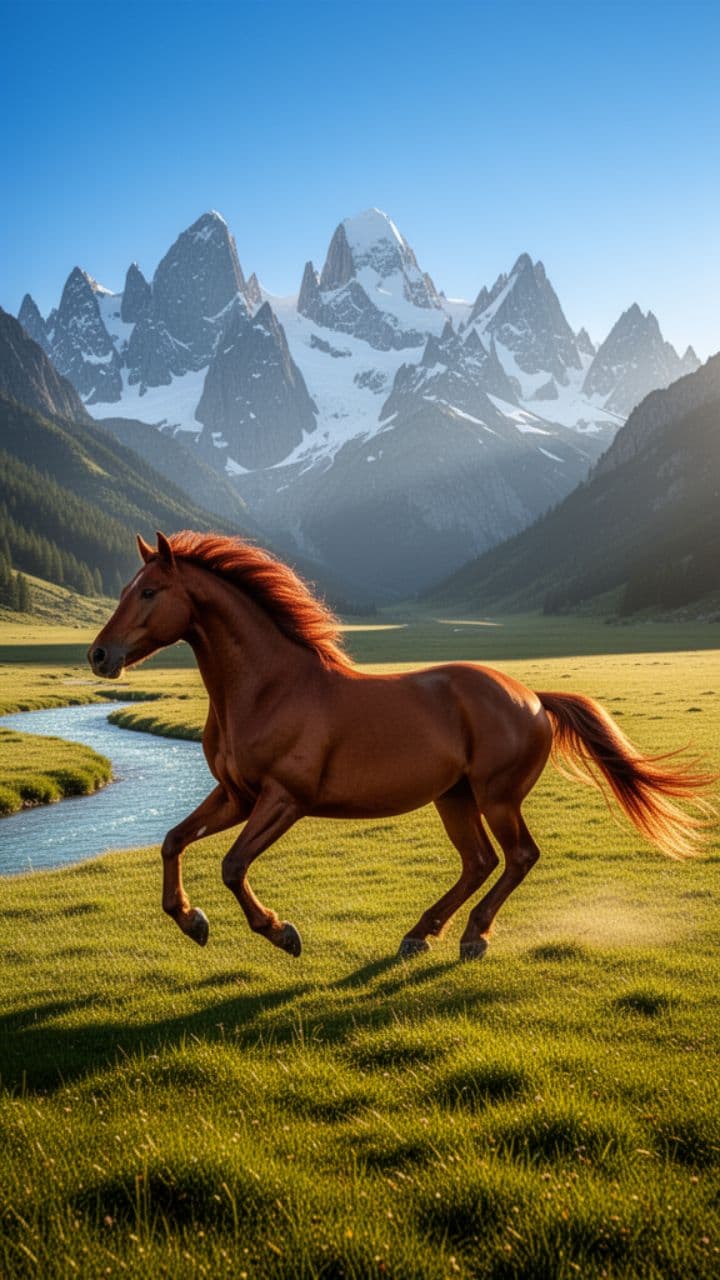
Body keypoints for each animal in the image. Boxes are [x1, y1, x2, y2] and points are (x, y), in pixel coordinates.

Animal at [88, 531, 713, 961]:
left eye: (149, 592)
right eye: (122, 590)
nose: (98, 655)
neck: (270, 688)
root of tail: (532, 697)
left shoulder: (283, 799)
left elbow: (233, 864)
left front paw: (280, 932)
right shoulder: (237, 796)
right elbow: (173, 841)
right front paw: (190, 919)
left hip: (497, 798)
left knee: (518, 857)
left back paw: (473, 937)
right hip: (454, 798)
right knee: (479, 861)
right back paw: (420, 935)